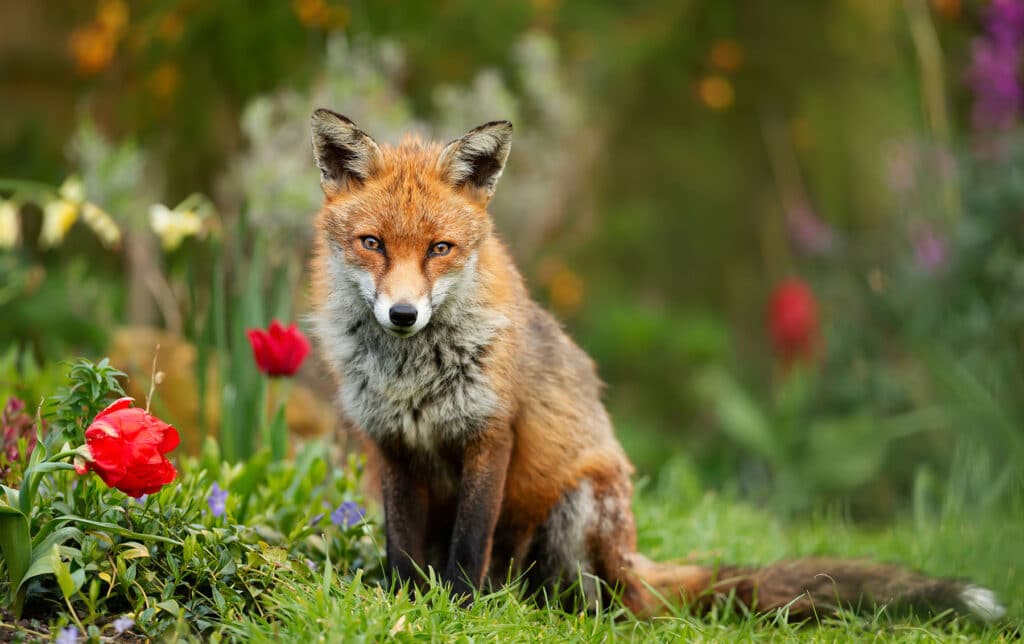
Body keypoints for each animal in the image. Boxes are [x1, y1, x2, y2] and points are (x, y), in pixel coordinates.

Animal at [307, 108, 1006, 622]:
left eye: (439, 249)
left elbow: (466, 547)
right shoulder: (394, 445)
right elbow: (403, 549)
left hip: (579, 507)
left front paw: (456, 611)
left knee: (615, 603)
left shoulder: (491, 436)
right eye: (372, 244)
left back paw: (555, 611)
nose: (403, 314)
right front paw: (403, 605)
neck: (411, 374)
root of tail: (634, 559)